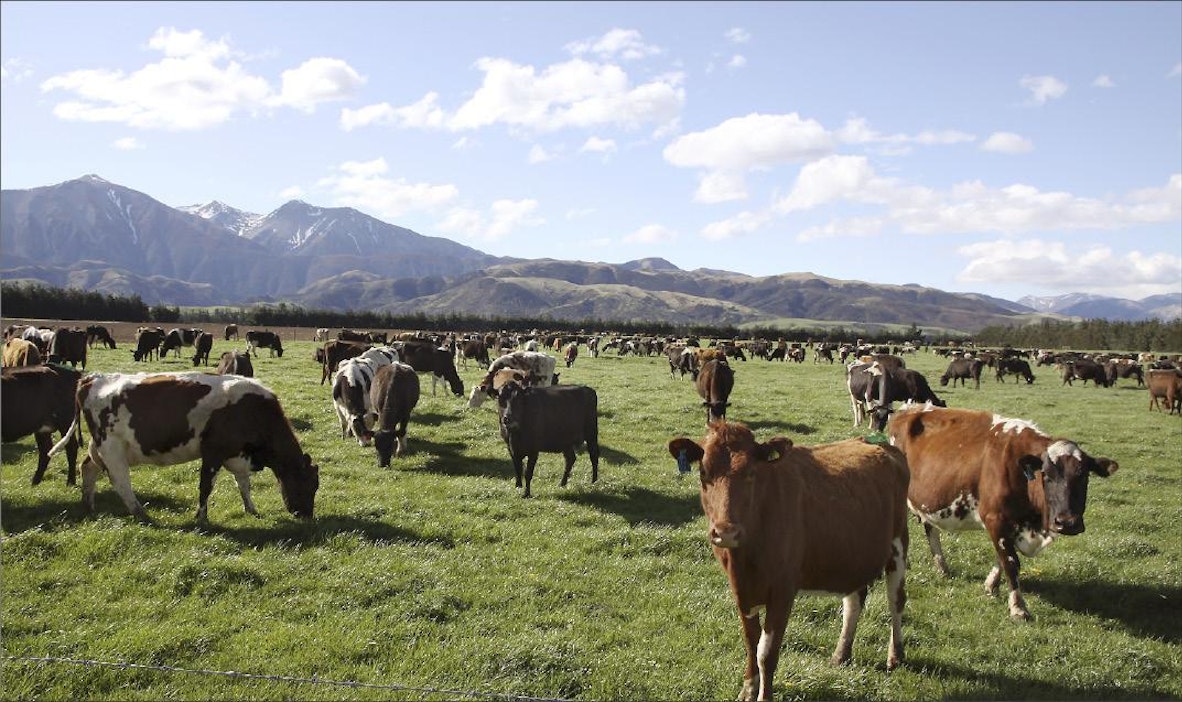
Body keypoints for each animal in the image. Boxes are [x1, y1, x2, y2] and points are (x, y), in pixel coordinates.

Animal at [49, 371, 319, 520]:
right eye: (308, 485)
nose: (306, 515)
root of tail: (92, 378)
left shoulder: (236, 453)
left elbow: (243, 485)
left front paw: (251, 509)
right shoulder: (213, 452)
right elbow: (206, 486)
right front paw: (201, 517)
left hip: (100, 448)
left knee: (88, 468)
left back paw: (88, 505)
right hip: (111, 447)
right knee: (120, 480)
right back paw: (140, 512)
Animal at [671, 420, 907, 699]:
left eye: (751, 472)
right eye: (703, 472)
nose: (726, 531)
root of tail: (876, 442)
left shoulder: (783, 590)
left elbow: (766, 652)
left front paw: (764, 695)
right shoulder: (741, 590)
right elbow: (750, 642)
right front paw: (748, 689)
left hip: (899, 543)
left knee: (896, 600)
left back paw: (895, 655)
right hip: (854, 554)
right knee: (854, 601)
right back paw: (841, 655)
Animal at [888, 404, 1115, 619]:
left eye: (1083, 476)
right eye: (1047, 476)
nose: (1067, 522)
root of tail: (909, 408)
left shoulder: (1011, 523)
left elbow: (1002, 556)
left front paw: (991, 585)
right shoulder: (995, 518)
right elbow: (1011, 561)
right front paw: (1018, 607)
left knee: (930, 529)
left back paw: (942, 567)